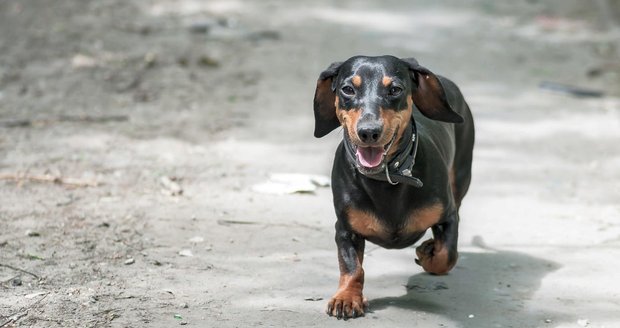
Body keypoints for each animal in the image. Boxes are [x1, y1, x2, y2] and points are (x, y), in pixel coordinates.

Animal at [312, 55, 478, 320]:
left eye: (395, 89)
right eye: (348, 89)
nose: (369, 132)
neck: (385, 178)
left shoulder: (448, 216)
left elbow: (446, 255)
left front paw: (429, 254)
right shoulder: (345, 229)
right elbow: (352, 267)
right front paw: (347, 298)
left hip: (461, 176)